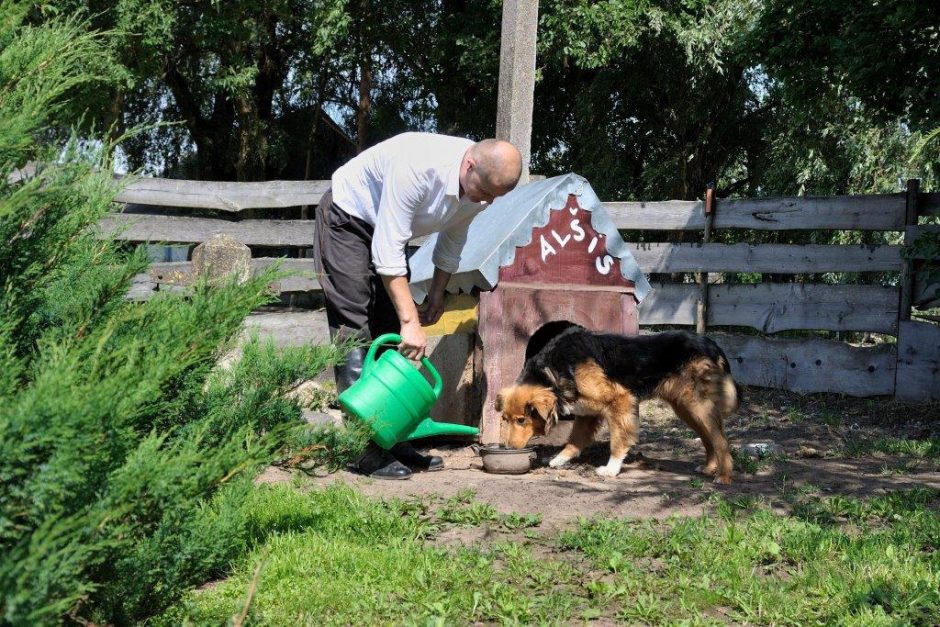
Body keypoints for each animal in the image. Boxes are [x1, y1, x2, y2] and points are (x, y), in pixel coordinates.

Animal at [500, 326, 740, 484]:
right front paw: (560, 459)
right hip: (685, 408)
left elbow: (617, 441)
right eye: (505, 419)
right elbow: (574, 440)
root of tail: (710, 343)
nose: (508, 448)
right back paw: (709, 468)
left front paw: (611, 469)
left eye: (521, 420)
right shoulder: (586, 413)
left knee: (720, 439)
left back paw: (724, 476)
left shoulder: (620, 401)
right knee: (708, 437)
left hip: (696, 404)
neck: (554, 370)